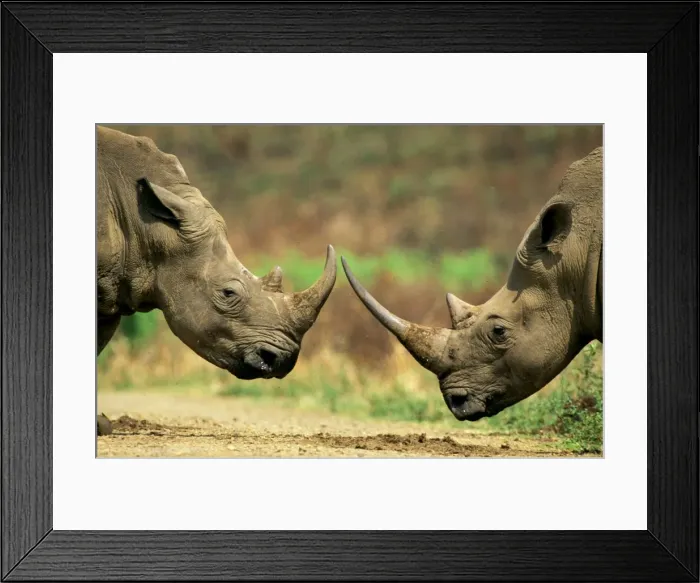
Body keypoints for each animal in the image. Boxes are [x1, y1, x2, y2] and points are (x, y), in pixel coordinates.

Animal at [96, 126, 336, 433]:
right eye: (228, 293)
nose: (281, 361)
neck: (147, 226)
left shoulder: (112, 290)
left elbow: (97, 346)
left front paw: (100, 427)